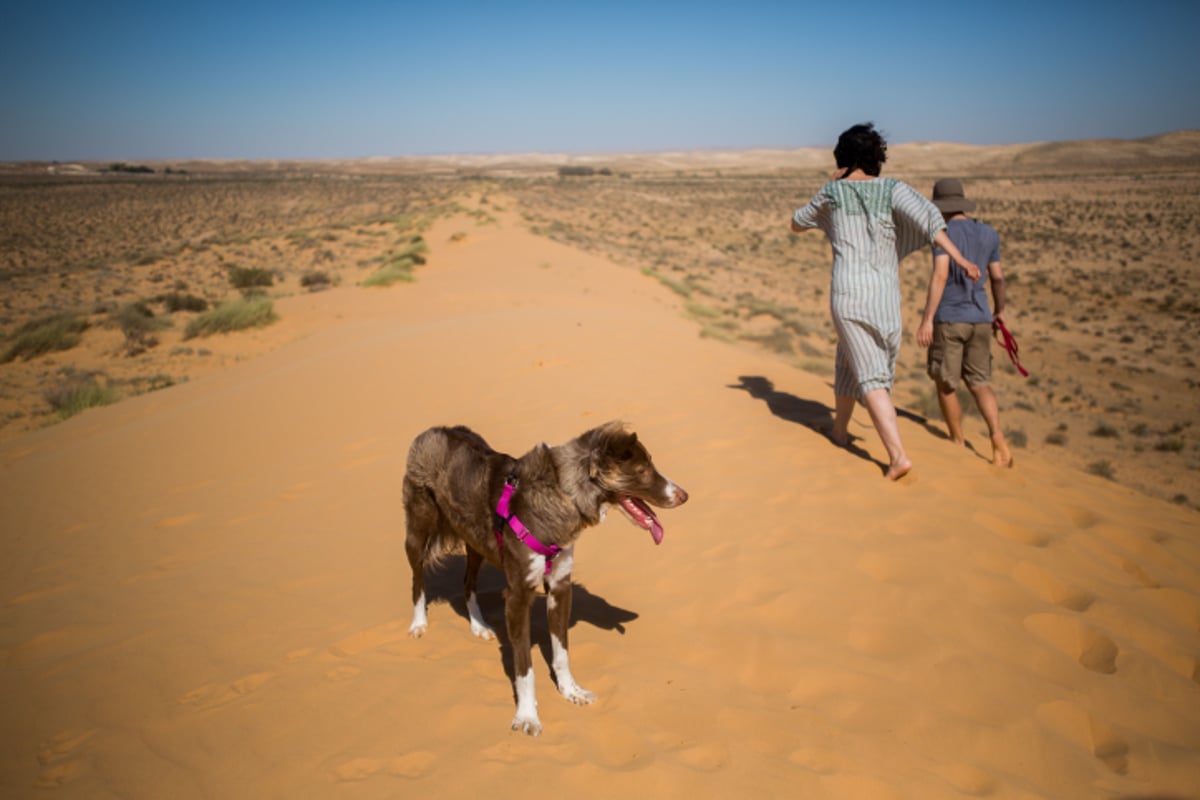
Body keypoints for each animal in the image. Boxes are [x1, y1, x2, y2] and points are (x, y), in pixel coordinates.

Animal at [400, 422, 686, 734]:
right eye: (643, 470)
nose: (684, 496)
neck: (563, 494)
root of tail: (435, 429)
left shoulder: (560, 588)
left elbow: (561, 653)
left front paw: (570, 691)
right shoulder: (517, 596)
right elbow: (524, 667)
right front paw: (527, 715)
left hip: (475, 540)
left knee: (467, 583)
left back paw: (479, 626)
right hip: (419, 531)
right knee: (416, 580)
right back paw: (419, 623)